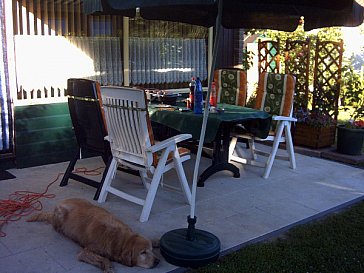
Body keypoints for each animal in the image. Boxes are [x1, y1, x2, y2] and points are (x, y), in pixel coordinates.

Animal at [27, 198, 159, 272]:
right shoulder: (86, 252)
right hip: (60, 215)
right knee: (56, 227)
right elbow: (104, 259)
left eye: (151, 250)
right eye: (143, 253)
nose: (158, 261)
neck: (119, 239)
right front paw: (109, 268)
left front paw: (157, 241)